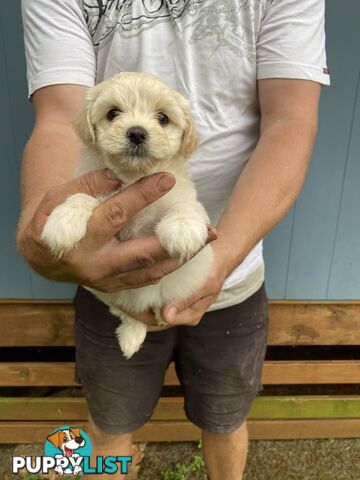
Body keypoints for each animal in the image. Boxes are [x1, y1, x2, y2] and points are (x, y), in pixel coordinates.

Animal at [41, 70, 214, 356]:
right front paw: (63, 222)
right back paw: (131, 337)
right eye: (113, 113)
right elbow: (82, 197)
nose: (136, 133)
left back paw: (158, 317)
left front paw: (182, 229)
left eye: (163, 118)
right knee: (128, 313)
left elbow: (184, 206)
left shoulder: (180, 194)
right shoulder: (100, 189)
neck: (134, 176)